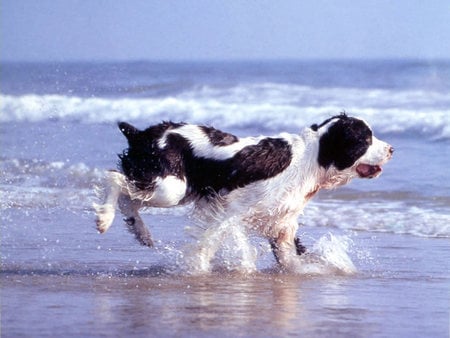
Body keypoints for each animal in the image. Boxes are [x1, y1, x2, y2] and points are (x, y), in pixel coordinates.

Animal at [95, 115, 394, 270]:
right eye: (365, 139)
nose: (392, 149)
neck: (311, 159)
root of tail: (141, 134)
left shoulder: (281, 226)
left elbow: (290, 259)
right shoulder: (231, 208)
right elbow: (210, 243)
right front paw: (197, 270)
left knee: (129, 198)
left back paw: (140, 232)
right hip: (171, 187)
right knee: (114, 178)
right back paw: (105, 219)